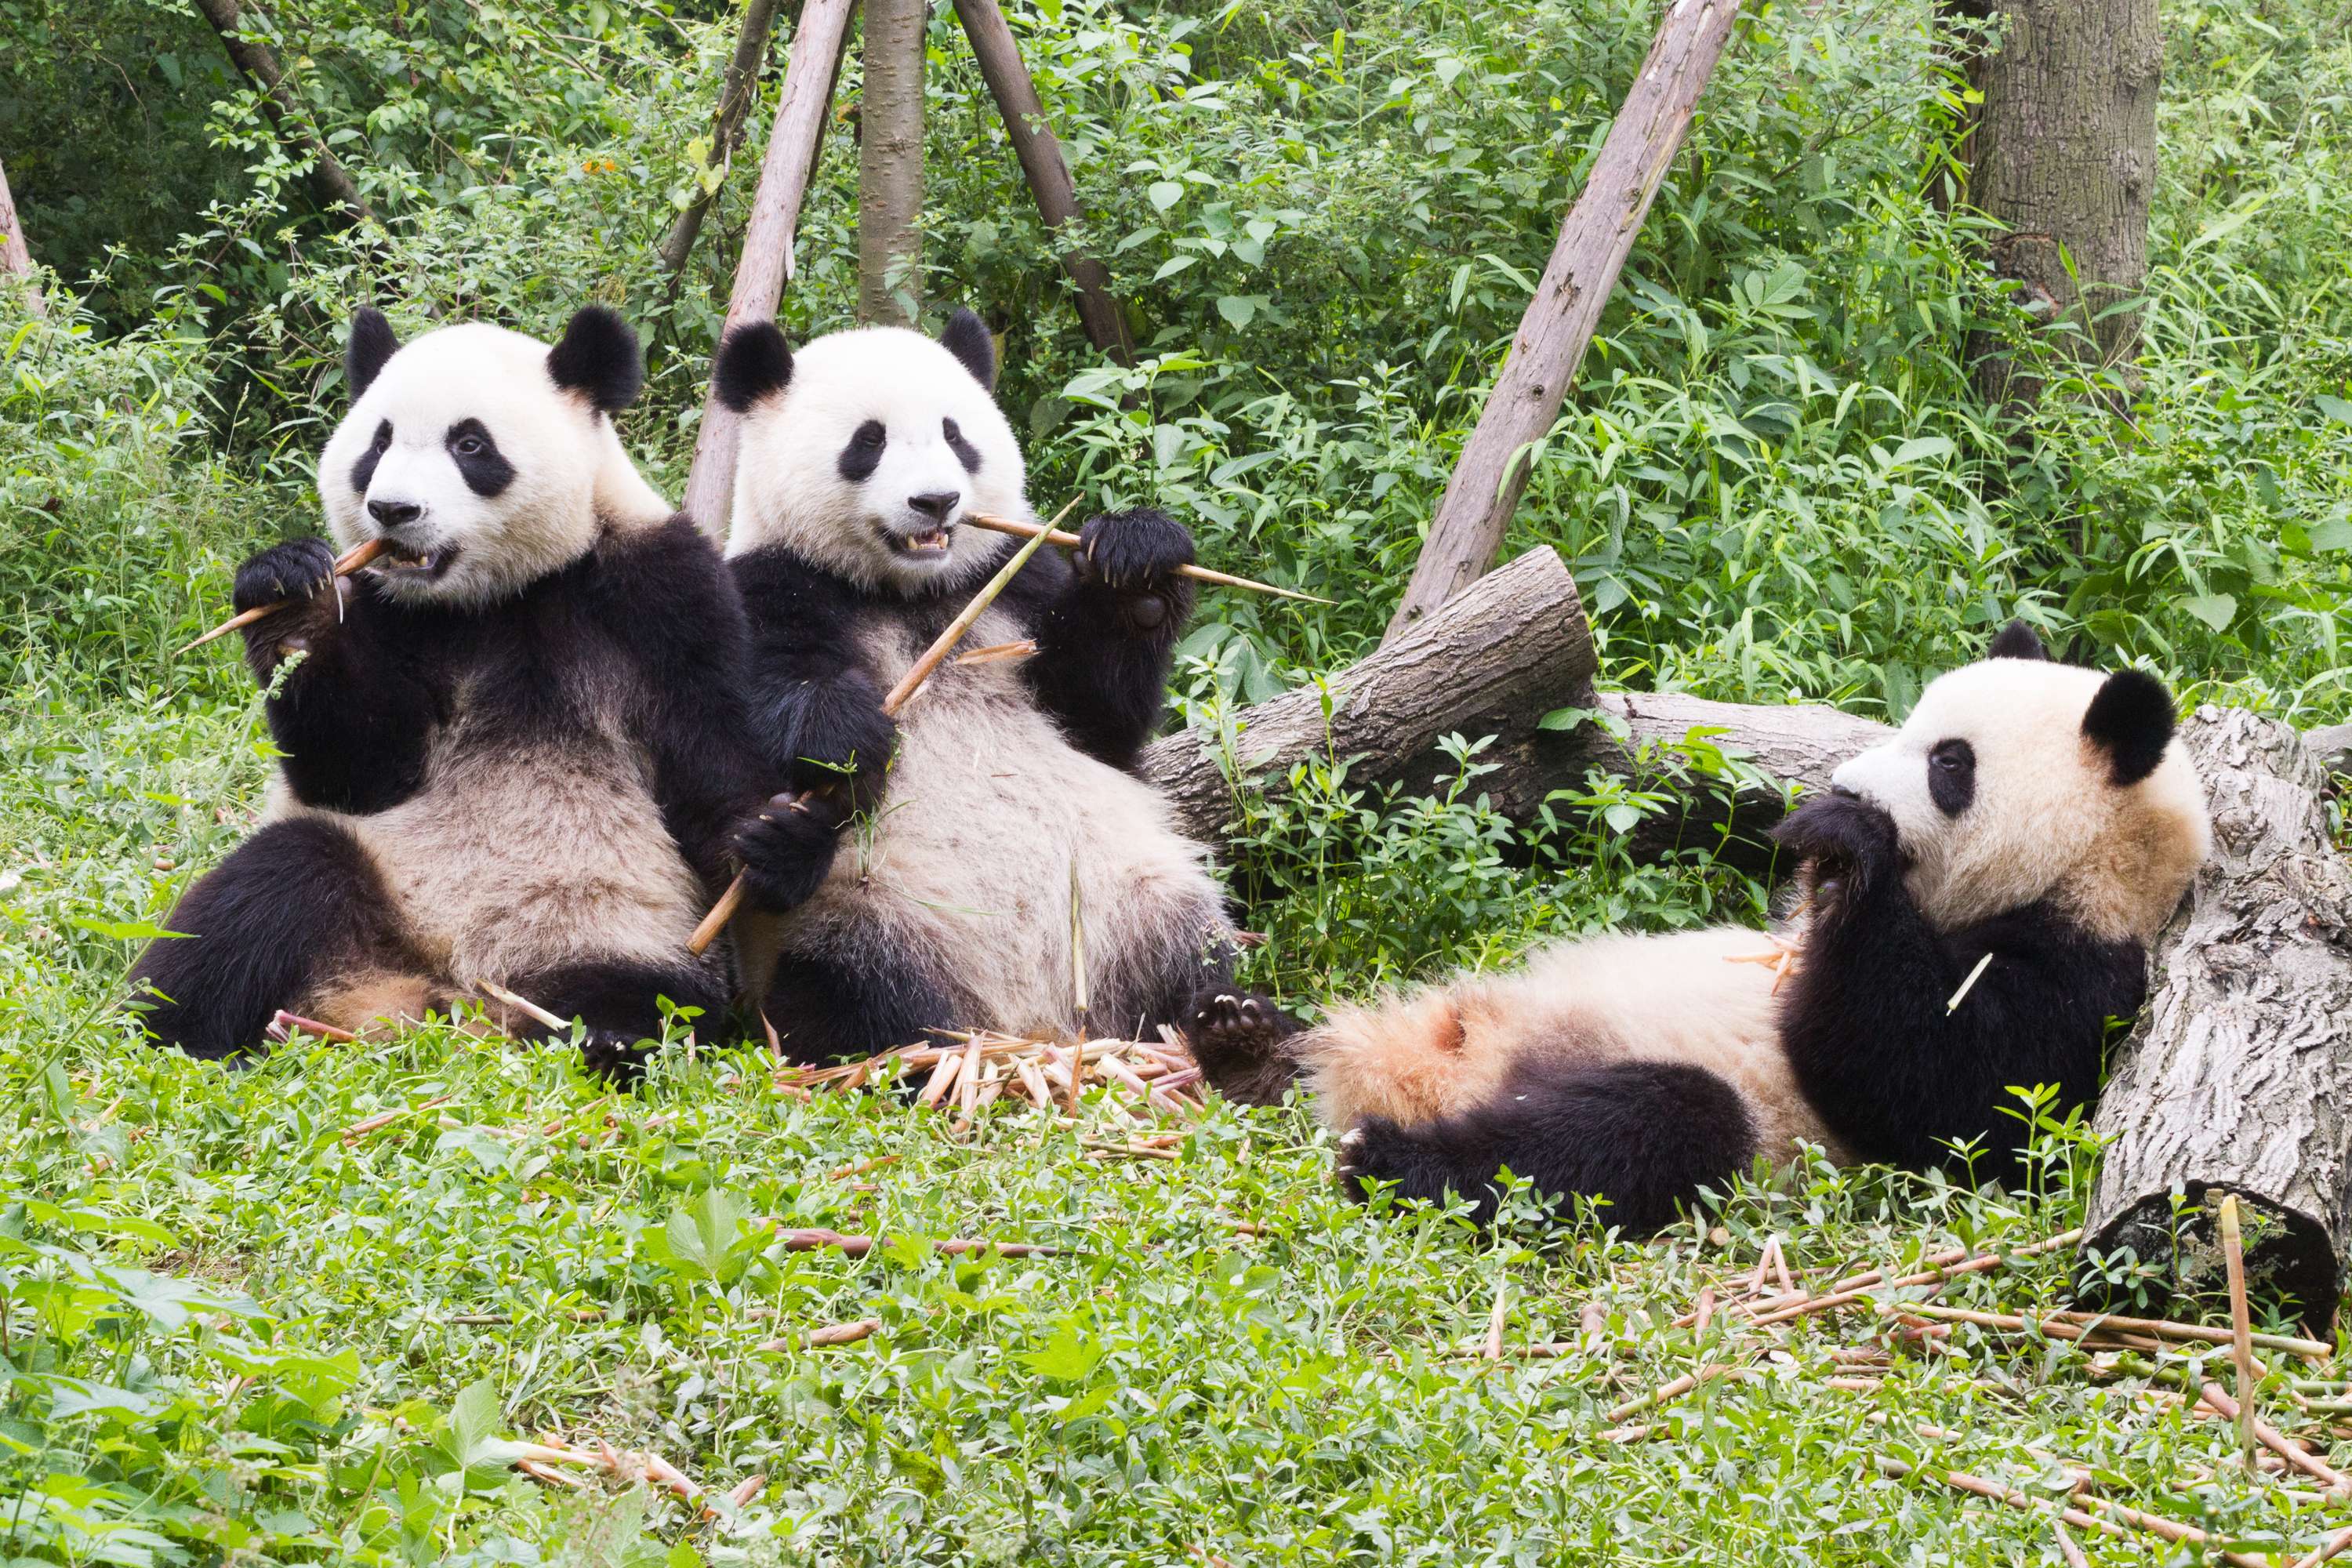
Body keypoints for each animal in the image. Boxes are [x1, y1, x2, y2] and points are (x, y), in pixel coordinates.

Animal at [131, 307, 803, 1072]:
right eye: (379, 442)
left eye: (471, 444)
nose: (392, 509)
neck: (498, 596)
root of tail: (438, 993)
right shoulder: (391, 614)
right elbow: (357, 772)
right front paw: (287, 592)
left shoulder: (664, 593)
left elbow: (708, 763)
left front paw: (777, 840)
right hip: (378, 874)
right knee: (268, 888)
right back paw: (185, 1035)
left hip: (615, 930)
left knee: (648, 1002)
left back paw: (604, 1034)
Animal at [709, 308, 1239, 1060]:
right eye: (868, 441)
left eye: (955, 435)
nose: (936, 501)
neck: (912, 594)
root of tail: (1030, 1028)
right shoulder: (769, 584)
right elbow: (738, 723)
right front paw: (843, 737)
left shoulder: (1013, 583)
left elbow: (1100, 718)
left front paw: (1137, 567)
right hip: (873, 917)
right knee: (854, 999)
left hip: (1129, 898)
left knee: (1192, 952)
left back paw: (1237, 1029)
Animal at [1187, 622, 2212, 1229]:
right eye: (1909, 723)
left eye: (1949, 763)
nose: (1844, 786)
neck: (2088, 873)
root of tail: (1415, 1073)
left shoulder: (2079, 980)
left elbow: (1938, 1089)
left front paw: (1846, 843)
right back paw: (1251, 1040)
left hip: (1704, 1109)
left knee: (1633, 1128)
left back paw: (1392, 1157)